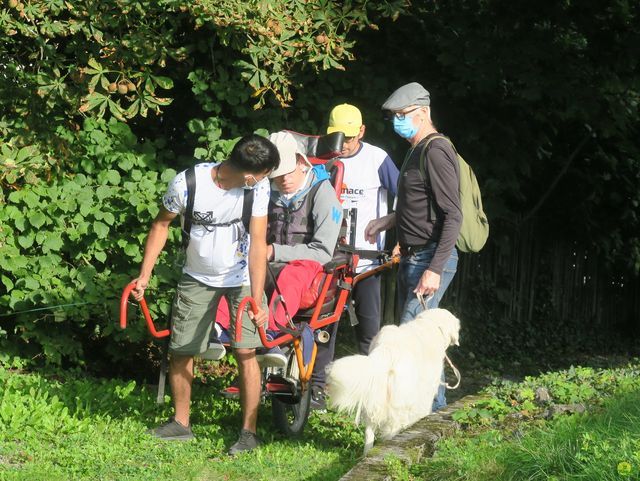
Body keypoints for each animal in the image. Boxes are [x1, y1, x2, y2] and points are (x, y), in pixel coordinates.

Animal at [328, 308, 458, 454]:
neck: (432, 324)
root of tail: (388, 348)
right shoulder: (425, 394)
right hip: (397, 405)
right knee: (391, 433)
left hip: (374, 398)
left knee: (369, 433)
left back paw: (366, 454)